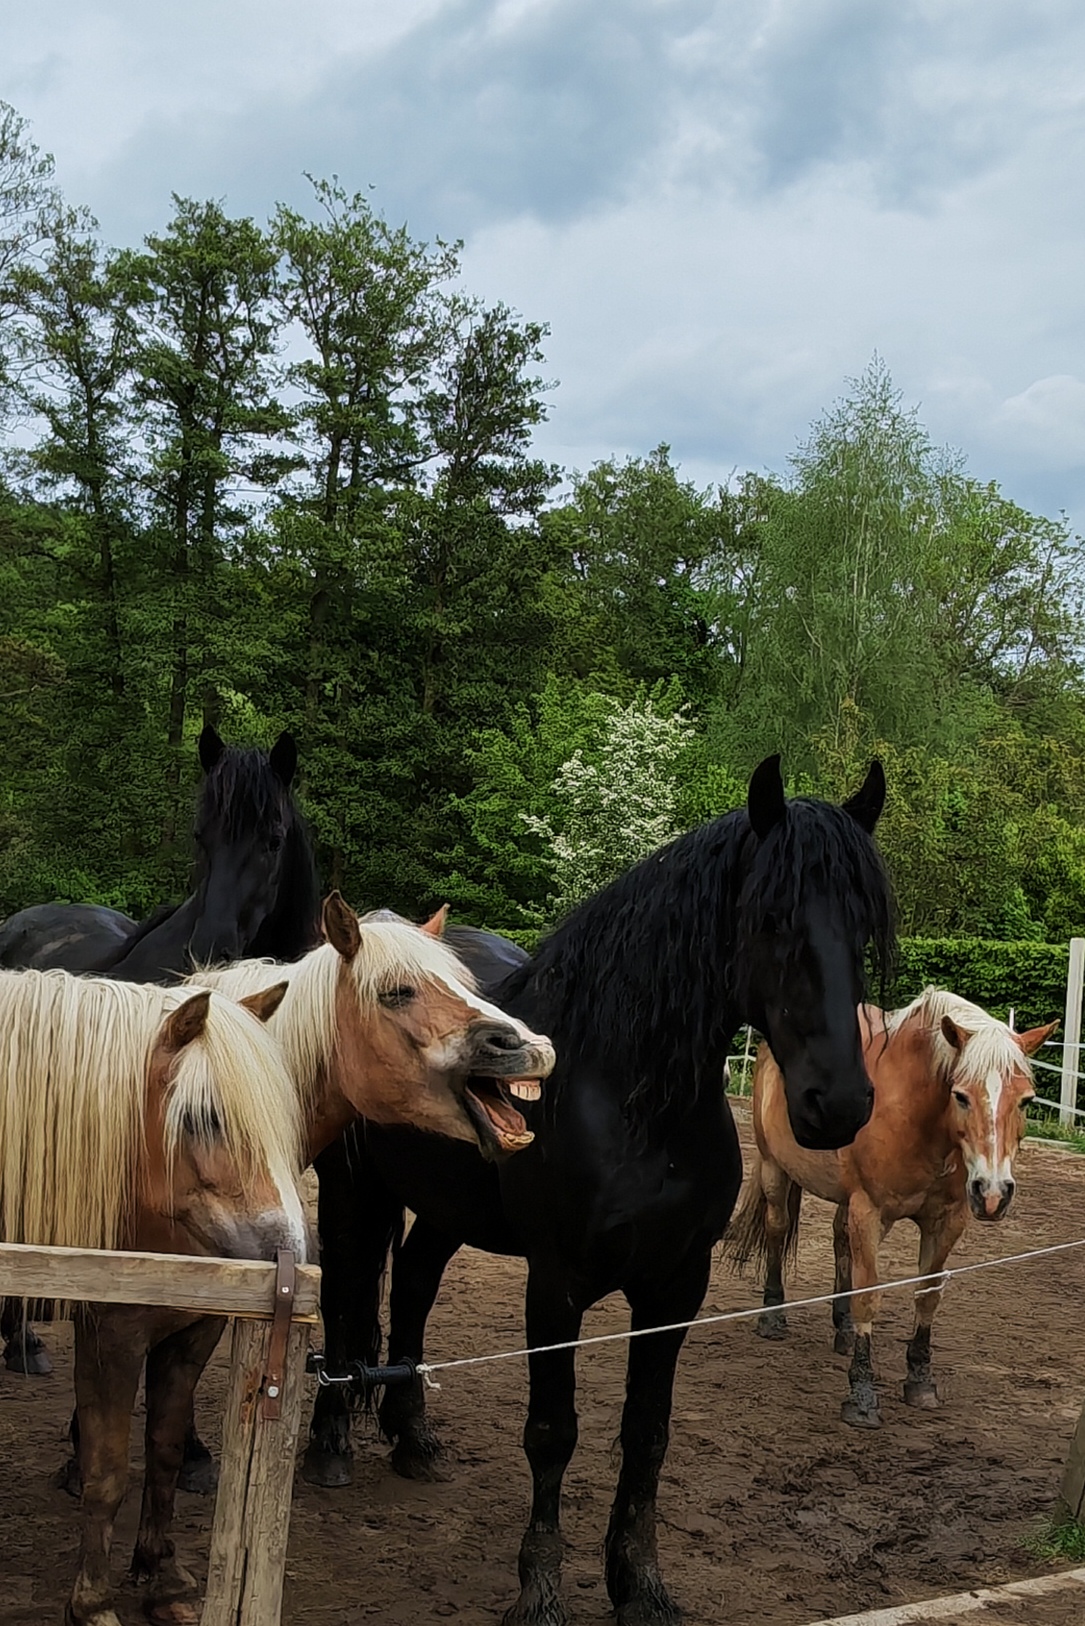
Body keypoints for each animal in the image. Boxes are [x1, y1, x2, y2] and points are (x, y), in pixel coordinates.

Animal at [0, 965, 308, 1626]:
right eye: (203, 1117)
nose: (293, 1255)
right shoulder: (111, 1337)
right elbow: (107, 1470)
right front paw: (92, 1602)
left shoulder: (191, 1335)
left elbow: (164, 1452)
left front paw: (161, 1580)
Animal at [301, 754, 895, 1626]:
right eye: (772, 918)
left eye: (860, 926)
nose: (839, 1104)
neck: (626, 1100)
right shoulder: (556, 1285)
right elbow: (553, 1430)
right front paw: (540, 1590)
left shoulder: (674, 1286)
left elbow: (647, 1433)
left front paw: (639, 1585)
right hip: (354, 1193)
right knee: (345, 1298)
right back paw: (329, 1448)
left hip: (445, 1208)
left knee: (409, 1286)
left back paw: (414, 1441)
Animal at [729, 987, 1056, 1430]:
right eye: (961, 1096)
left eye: (1025, 1101)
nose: (992, 1193)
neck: (917, 1117)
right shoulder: (869, 1213)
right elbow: (869, 1296)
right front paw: (862, 1395)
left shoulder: (945, 1221)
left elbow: (927, 1295)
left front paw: (919, 1380)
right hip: (773, 1168)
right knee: (778, 1229)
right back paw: (772, 1316)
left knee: (839, 1243)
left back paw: (843, 1328)